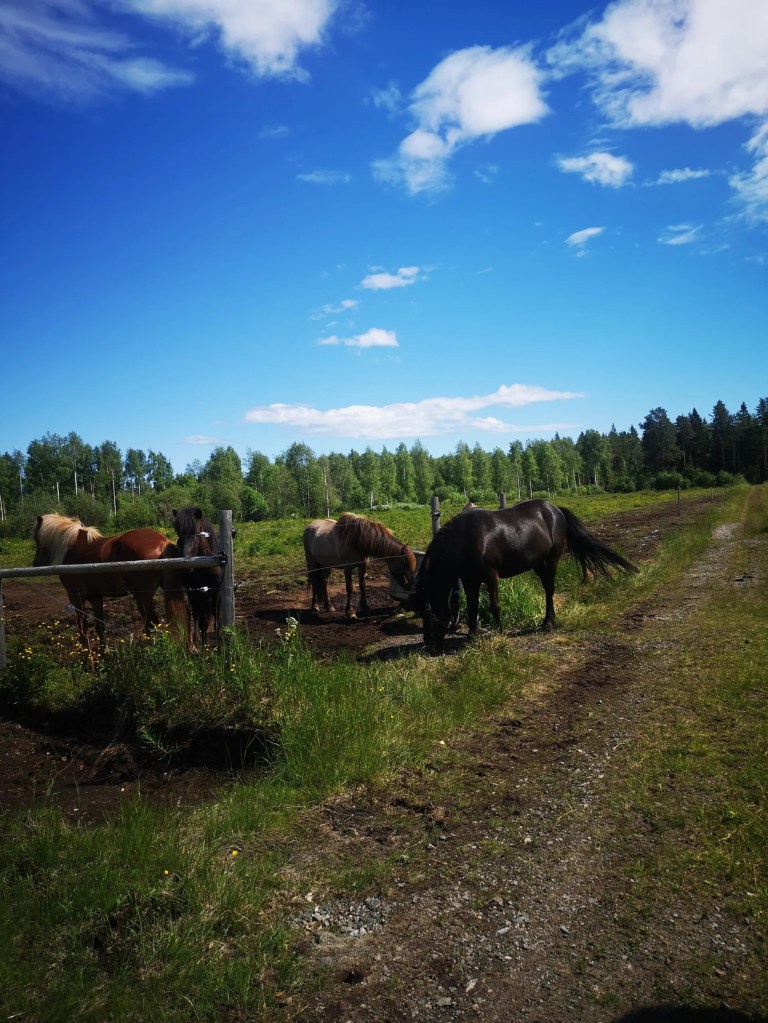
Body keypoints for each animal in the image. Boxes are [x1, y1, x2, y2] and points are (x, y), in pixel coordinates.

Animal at [32, 513, 187, 648]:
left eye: (36, 538)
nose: (35, 563)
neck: (70, 548)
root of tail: (162, 541)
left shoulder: (75, 595)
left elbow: (82, 627)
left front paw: (86, 657)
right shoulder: (95, 597)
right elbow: (100, 626)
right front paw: (104, 653)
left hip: (142, 597)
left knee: (151, 624)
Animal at [172, 506, 222, 650]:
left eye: (196, 532)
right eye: (178, 532)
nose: (185, 566)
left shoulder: (214, 592)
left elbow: (212, 616)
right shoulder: (194, 592)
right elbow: (200, 618)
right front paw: (201, 644)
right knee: (197, 614)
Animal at [413, 499, 638, 654]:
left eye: (428, 613)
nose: (430, 646)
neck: (467, 538)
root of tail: (556, 510)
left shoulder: (491, 576)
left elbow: (495, 605)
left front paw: (500, 632)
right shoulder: (470, 580)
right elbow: (472, 607)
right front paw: (471, 637)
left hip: (553, 557)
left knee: (550, 588)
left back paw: (549, 623)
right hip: (537, 563)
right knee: (547, 586)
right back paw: (548, 620)